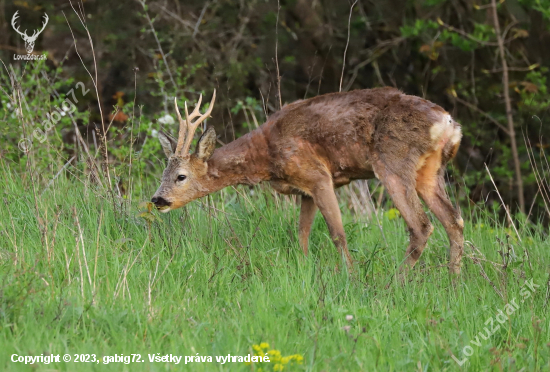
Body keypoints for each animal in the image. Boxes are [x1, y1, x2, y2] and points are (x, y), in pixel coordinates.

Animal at [151, 87, 466, 274]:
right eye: (163, 174)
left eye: (181, 176)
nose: (157, 199)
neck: (266, 155)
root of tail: (449, 123)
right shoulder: (304, 189)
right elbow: (301, 233)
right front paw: (303, 270)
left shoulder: (319, 176)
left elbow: (337, 233)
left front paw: (351, 276)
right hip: (429, 171)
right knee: (454, 221)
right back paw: (453, 281)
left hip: (393, 163)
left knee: (421, 226)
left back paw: (394, 282)